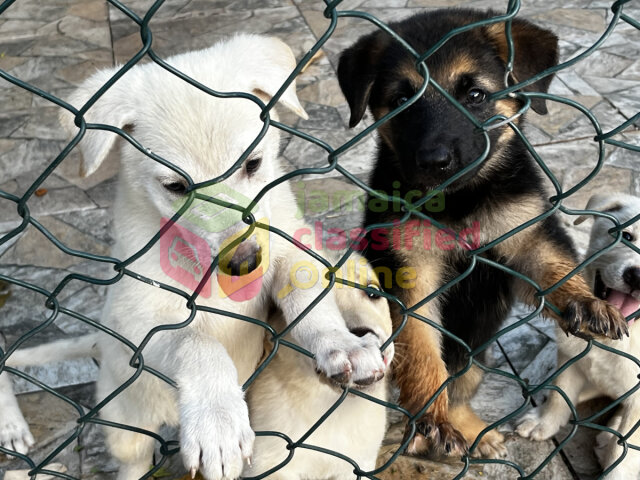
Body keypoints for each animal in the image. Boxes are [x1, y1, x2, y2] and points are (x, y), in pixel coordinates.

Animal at [338, 10, 628, 462]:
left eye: (475, 95)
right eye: (401, 102)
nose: (435, 163)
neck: (460, 202)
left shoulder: (526, 232)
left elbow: (553, 264)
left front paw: (585, 300)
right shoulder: (407, 271)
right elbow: (422, 349)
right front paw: (434, 416)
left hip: (477, 355)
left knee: (461, 387)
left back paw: (473, 430)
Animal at [516, 192, 640, 480]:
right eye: (627, 236)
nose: (637, 276)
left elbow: (625, 452)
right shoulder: (570, 356)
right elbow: (561, 393)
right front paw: (545, 421)